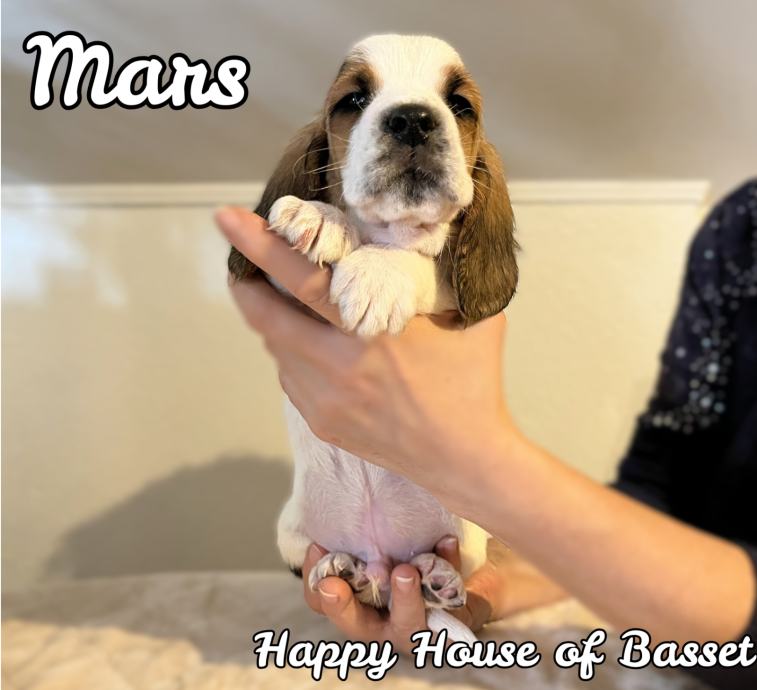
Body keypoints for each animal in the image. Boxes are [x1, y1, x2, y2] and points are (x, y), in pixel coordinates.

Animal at [229, 34, 518, 643]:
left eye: (460, 105)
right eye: (354, 99)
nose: (412, 119)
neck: (387, 229)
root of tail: (384, 565)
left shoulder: (447, 298)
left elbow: (420, 261)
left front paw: (380, 274)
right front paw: (321, 219)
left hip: (470, 537)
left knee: (441, 566)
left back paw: (431, 575)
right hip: (292, 532)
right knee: (331, 564)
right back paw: (347, 570)